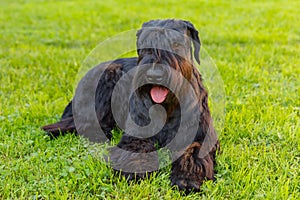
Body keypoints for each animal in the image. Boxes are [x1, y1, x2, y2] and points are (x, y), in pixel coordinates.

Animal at [42, 19, 219, 192]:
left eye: (175, 44)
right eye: (145, 46)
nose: (155, 75)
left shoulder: (201, 137)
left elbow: (192, 154)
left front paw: (186, 179)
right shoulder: (137, 134)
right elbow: (135, 149)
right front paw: (134, 172)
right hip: (108, 77)